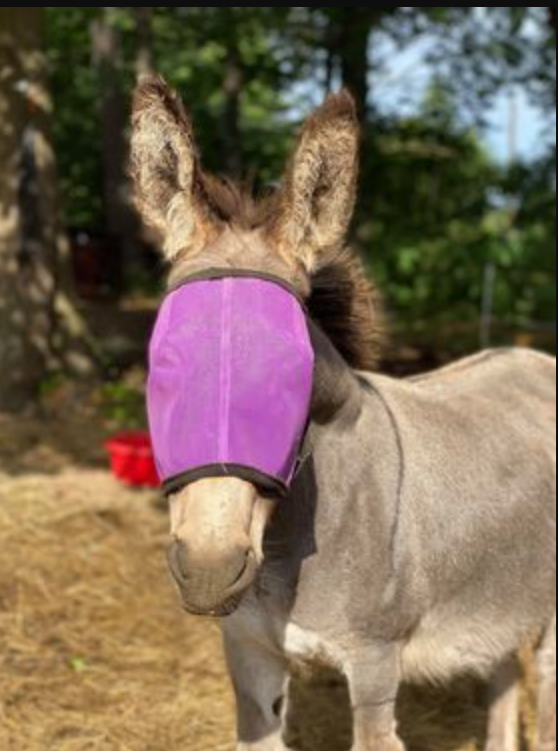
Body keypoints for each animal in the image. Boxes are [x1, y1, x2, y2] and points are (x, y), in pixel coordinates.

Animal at [131, 76, 557, 751]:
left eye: (296, 372)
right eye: (161, 361)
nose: (208, 569)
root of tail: (534, 356)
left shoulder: (375, 663)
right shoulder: (249, 655)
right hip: (496, 598)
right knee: (502, 678)